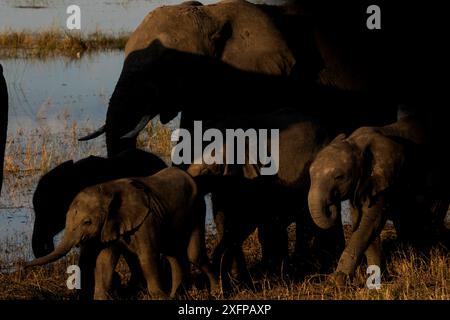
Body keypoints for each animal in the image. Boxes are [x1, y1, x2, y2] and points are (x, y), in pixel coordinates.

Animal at [25, 168, 219, 300]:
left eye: (87, 222)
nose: (24, 265)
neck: (107, 190)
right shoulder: (109, 227)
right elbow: (104, 261)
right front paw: (101, 298)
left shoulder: (146, 220)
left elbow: (147, 257)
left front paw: (159, 297)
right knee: (173, 254)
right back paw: (175, 296)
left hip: (198, 209)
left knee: (194, 255)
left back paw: (217, 291)